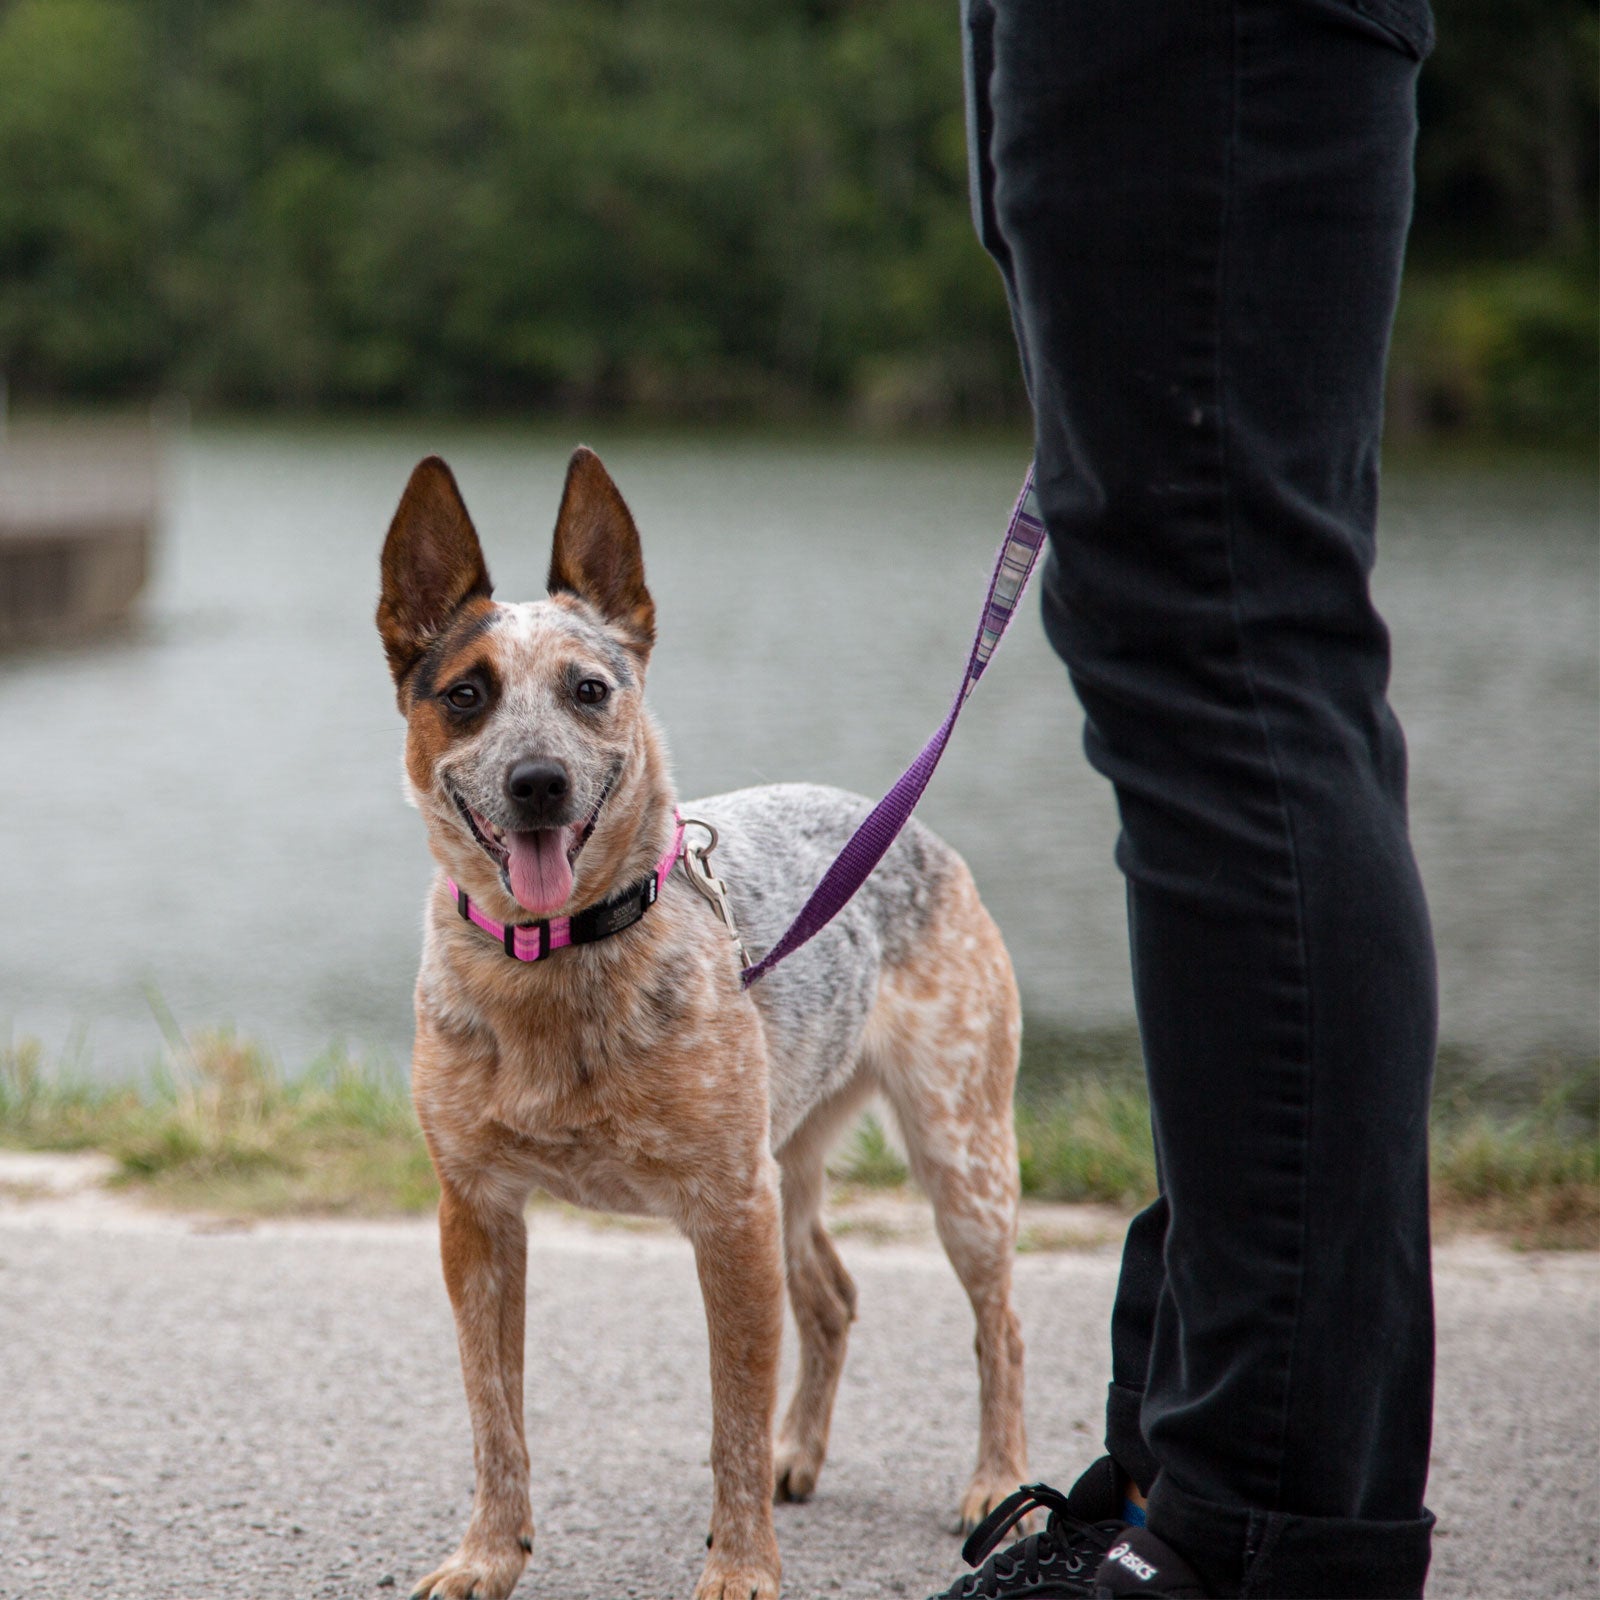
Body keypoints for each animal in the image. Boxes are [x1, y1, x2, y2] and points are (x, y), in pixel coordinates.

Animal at [374, 448, 1024, 1600]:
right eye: (466, 694)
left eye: (590, 690)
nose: (537, 782)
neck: (558, 963)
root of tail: (909, 825)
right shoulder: (477, 1214)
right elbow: (495, 1415)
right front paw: (488, 1554)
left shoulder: (728, 1211)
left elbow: (731, 1416)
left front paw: (740, 1568)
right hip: (792, 1153)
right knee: (833, 1295)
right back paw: (802, 1454)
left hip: (959, 1156)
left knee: (1000, 1327)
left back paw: (995, 1482)